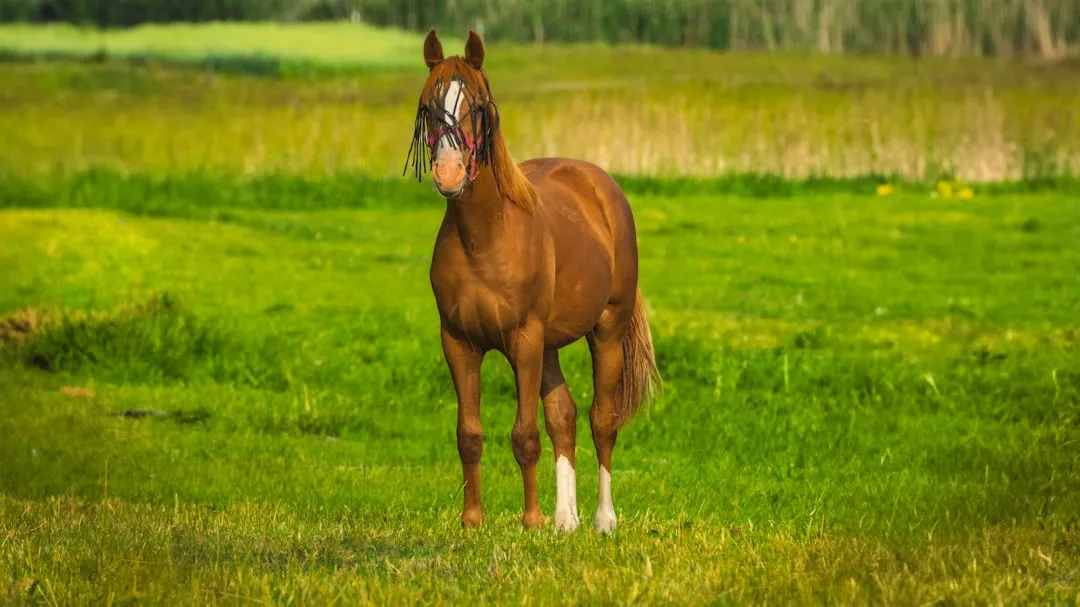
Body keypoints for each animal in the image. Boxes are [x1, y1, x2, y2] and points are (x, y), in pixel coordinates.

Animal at [404, 29, 661, 534]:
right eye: (427, 105)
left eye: (477, 105)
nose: (449, 173)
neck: (485, 238)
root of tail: (601, 185)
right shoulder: (458, 342)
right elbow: (469, 434)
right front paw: (473, 520)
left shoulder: (523, 339)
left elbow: (524, 435)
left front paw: (532, 521)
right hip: (550, 346)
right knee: (564, 416)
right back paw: (567, 519)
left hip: (605, 330)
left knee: (602, 420)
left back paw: (602, 520)